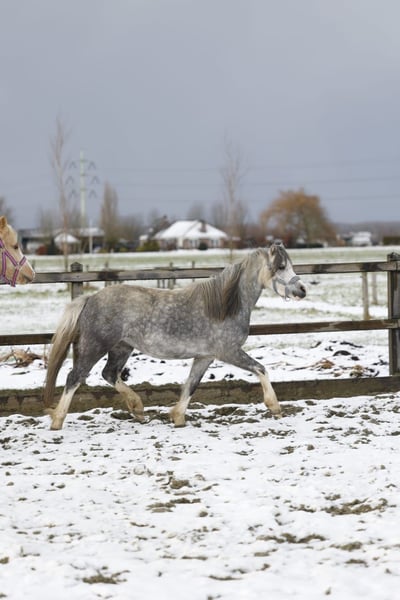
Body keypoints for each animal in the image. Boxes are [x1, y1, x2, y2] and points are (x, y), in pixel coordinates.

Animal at [44, 243, 306, 430]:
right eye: (281, 266)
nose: (302, 290)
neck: (225, 306)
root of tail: (90, 299)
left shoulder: (205, 357)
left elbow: (191, 384)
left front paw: (177, 417)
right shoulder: (229, 352)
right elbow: (261, 369)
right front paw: (275, 407)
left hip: (122, 347)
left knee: (109, 374)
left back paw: (138, 409)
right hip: (94, 347)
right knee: (74, 377)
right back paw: (57, 421)